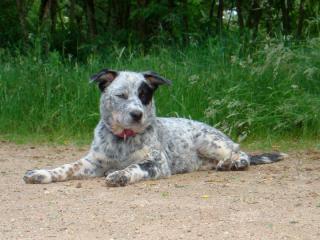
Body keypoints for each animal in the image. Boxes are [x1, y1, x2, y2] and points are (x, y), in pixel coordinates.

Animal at [23, 68, 286, 187]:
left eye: (144, 95)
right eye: (121, 95)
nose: (137, 114)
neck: (123, 140)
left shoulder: (157, 164)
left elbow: (134, 167)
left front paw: (120, 174)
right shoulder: (92, 163)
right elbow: (66, 167)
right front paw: (41, 173)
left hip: (208, 141)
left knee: (242, 153)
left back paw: (234, 163)